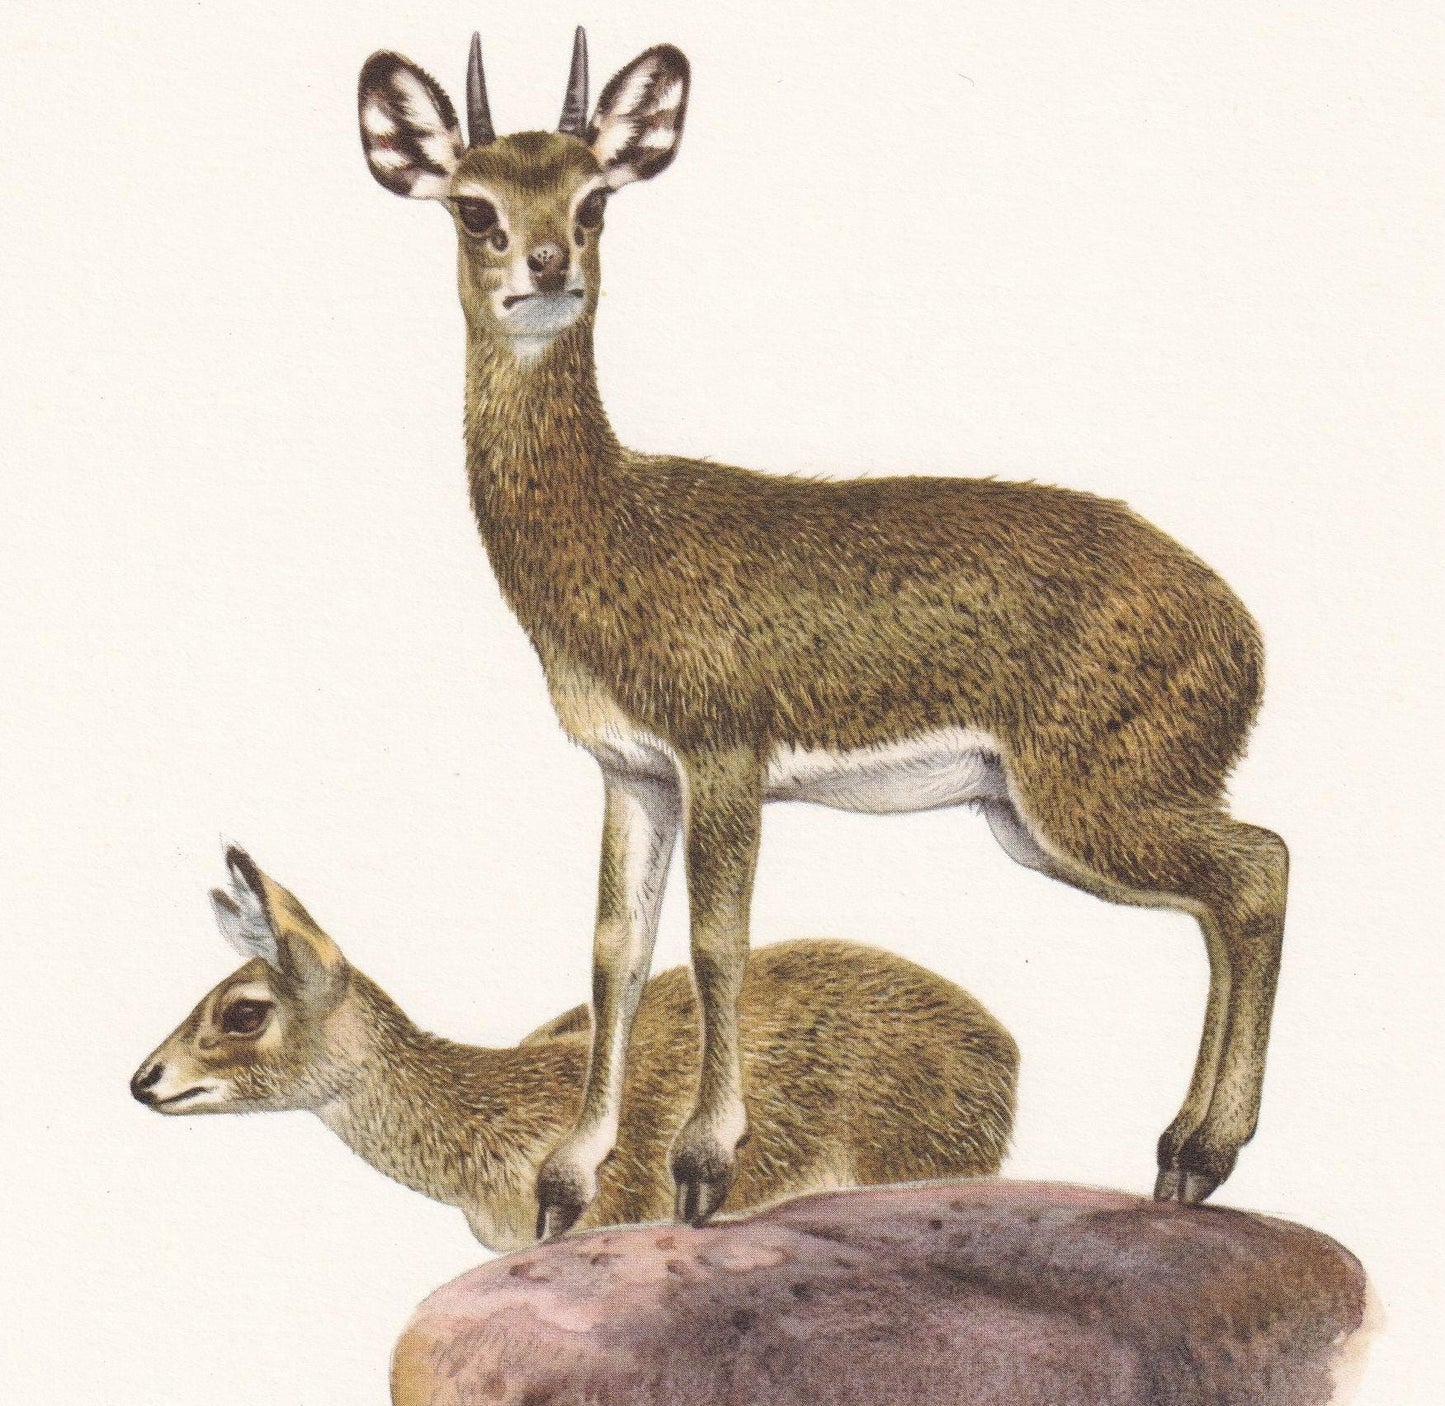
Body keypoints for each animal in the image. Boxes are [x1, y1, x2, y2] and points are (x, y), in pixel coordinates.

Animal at [355, 28, 1288, 1233]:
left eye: (594, 197)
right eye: (474, 207)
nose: (549, 265)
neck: (614, 530)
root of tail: (1240, 627)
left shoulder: (722, 753)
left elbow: (717, 942)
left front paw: (705, 1165)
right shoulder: (630, 770)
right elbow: (616, 951)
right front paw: (567, 1177)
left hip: (1090, 794)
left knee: (1258, 867)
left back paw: (1198, 1153)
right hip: (1035, 819)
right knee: (1224, 896)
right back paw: (1177, 1159)